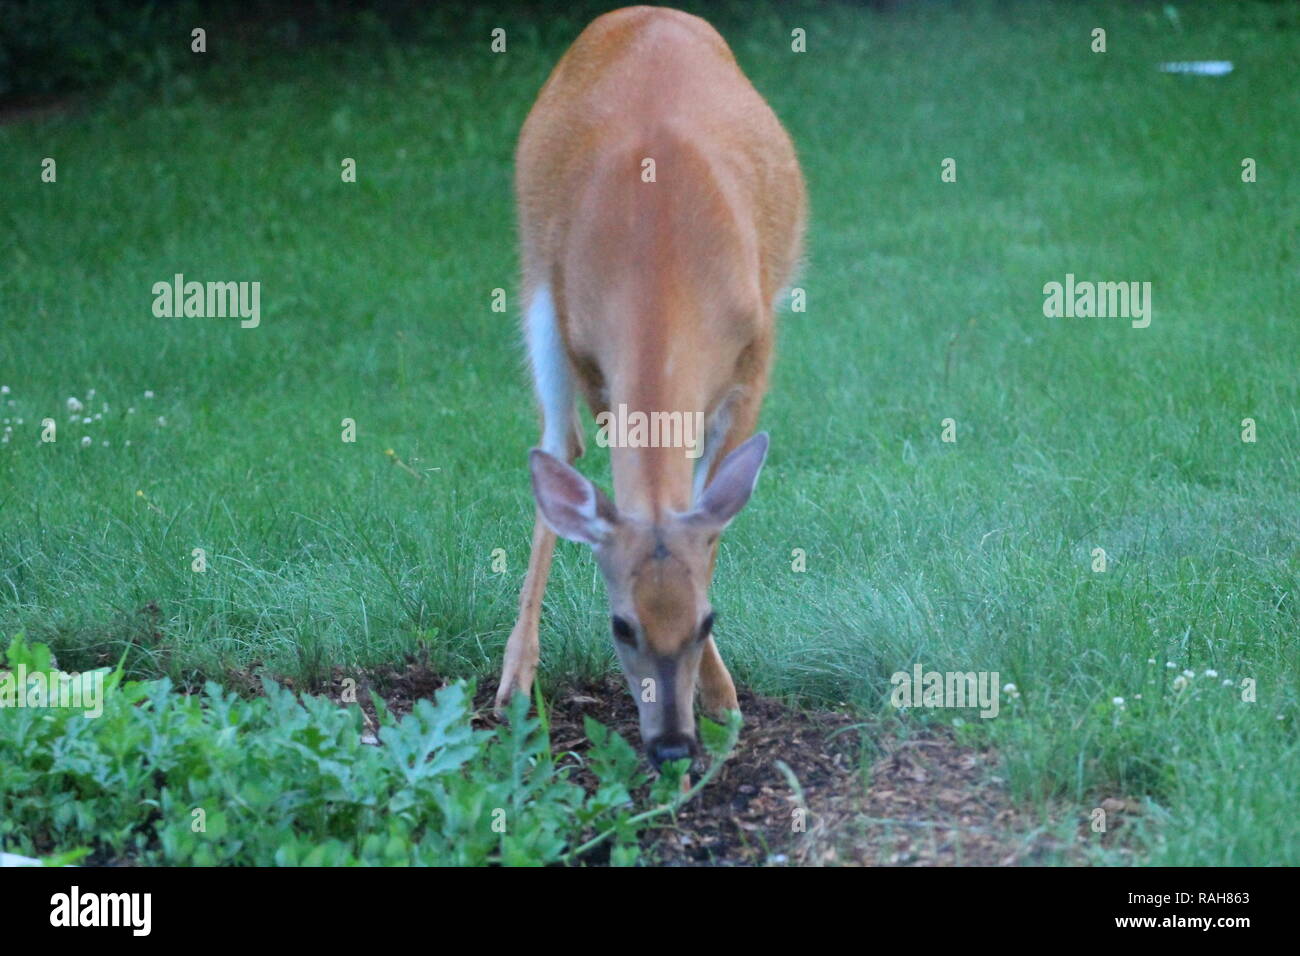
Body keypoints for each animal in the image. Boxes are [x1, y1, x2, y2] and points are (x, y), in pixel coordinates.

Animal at [496, 6, 806, 770]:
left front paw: (723, 698)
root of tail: (644, 12)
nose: (670, 745)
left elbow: (712, 513)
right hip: (537, 291)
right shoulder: (589, 352)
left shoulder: (756, 350)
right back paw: (515, 680)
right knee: (559, 445)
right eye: (621, 626)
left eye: (707, 620)